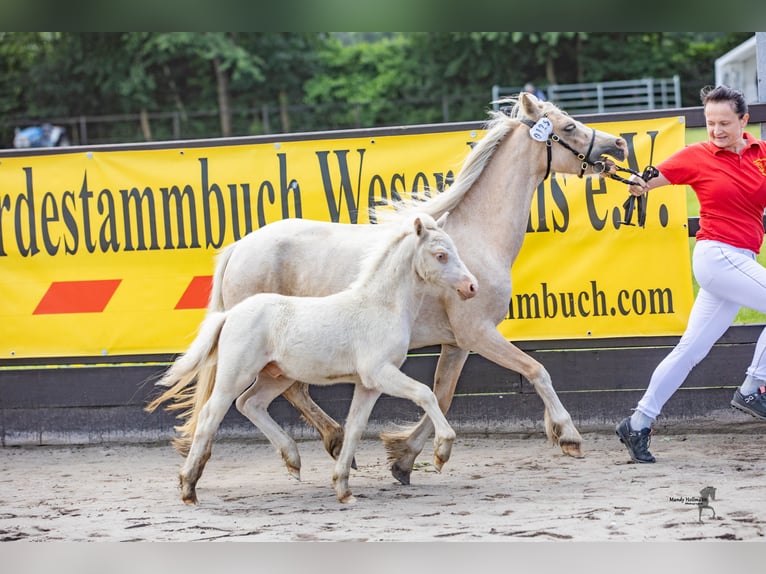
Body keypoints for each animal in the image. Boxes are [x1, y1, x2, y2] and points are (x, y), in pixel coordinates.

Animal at [147, 213, 476, 504]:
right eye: (440, 255)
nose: (471, 287)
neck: (379, 306)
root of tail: (229, 315)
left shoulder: (369, 384)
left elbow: (355, 428)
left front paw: (343, 489)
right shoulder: (380, 372)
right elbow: (425, 393)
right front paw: (442, 452)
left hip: (276, 376)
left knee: (249, 403)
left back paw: (292, 460)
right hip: (235, 375)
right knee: (210, 416)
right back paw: (189, 488)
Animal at [207, 91, 628, 486]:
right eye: (569, 126)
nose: (618, 145)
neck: (475, 238)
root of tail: (237, 249)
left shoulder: (458, 344)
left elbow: (442, 395)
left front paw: (405, 458)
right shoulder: (478, 333)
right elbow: (536, 369)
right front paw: (568, 436)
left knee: (279, 395)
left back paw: (333, 446)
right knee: (272, 395)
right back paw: (320, 448)